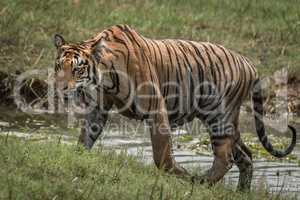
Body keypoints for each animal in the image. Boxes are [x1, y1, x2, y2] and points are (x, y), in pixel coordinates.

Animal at [52, 24, 296, 191]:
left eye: (77, 69)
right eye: (58, 66)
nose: (59, 87)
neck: (105, 78)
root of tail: (250, 64)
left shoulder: (156, 110)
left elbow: (162, 156)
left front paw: (182, 175)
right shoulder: (99, 108)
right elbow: (85, 138)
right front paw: (77, 158)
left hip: (219, 115)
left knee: (225, 159)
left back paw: (199, 182)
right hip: (227, 122)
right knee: (245, 155)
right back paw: (240, 192)